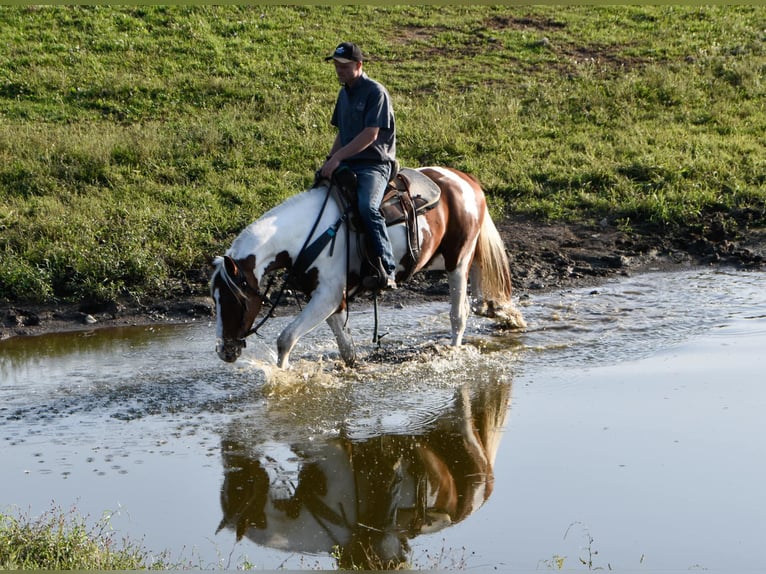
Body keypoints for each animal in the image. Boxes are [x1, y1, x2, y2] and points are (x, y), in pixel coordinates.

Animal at [210, 166, 525, 369]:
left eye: (235, 300)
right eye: (215, 299)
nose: (225, 351)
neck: (309, 235)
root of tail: (466, 180)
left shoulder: (327, 295)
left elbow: (285, 339)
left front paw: (283, 378)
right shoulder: (332, 299)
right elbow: (346, 346)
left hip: (457, 261)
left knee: (459, 314)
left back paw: (455, 348)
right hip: (465, 256)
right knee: (479, 294)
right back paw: (500, 312)